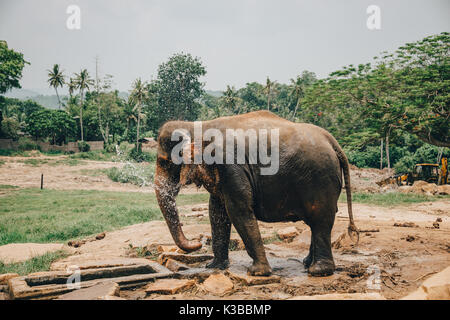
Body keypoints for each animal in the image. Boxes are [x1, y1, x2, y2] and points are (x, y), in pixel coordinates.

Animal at [155, 111, 358, 276]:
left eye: (165, 162)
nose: (197, 242)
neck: (199, 125)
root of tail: (333, 142)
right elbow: (217, 211)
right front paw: (214, 267)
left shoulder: (231, 165)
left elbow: (238, 210)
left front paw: (257, 272)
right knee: (318, 220)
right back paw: (307, 264)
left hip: (320, 178)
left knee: (320, 218)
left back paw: (319, 271)